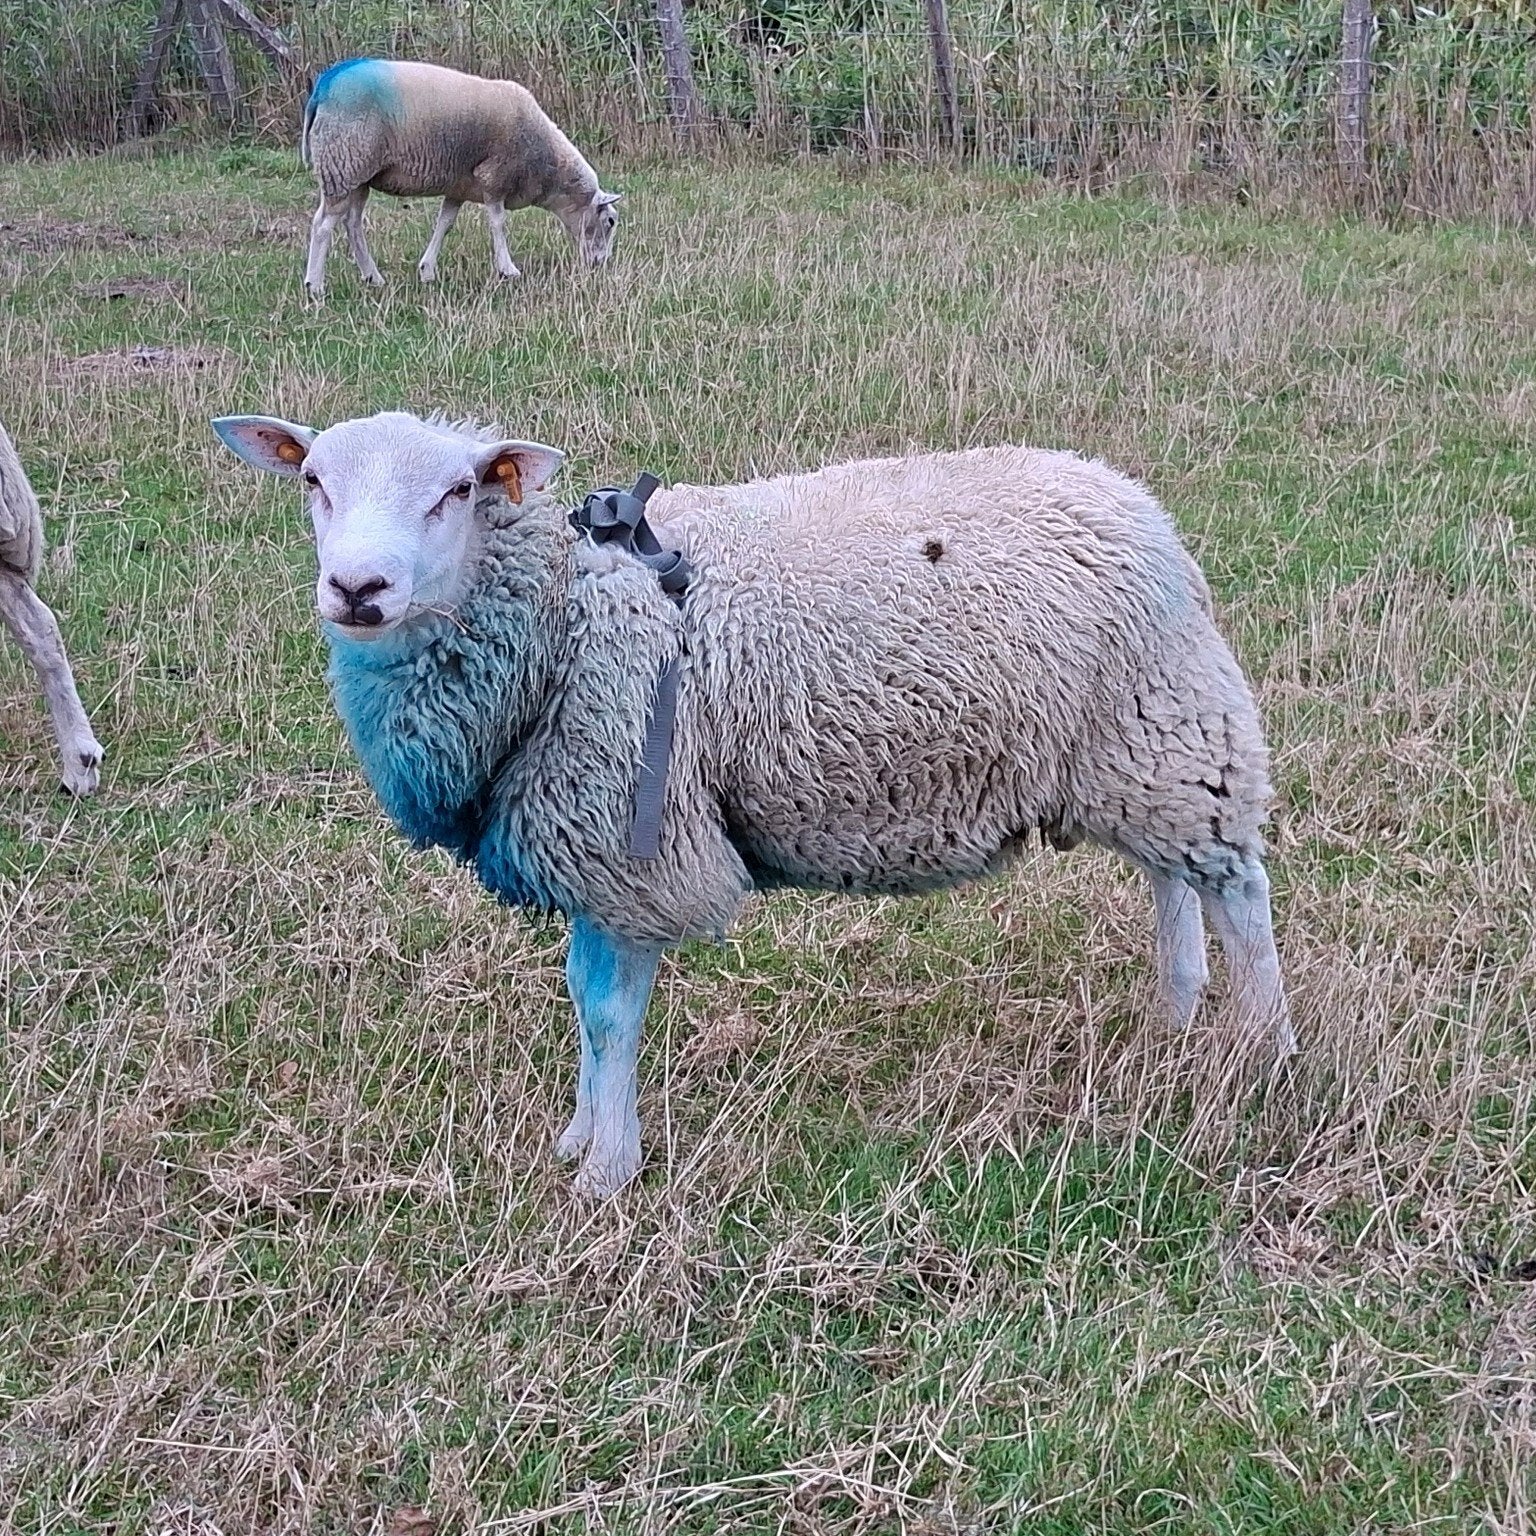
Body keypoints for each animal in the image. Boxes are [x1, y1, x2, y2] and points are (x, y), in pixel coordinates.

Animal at [211, 409, 1294, 1198]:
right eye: (313, 481)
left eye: (459, 491)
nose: (358, 588)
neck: (562, 612)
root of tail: (1135, 502)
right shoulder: (587, 845)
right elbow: (580, 999)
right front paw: (578, 1138)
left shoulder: (634, 844)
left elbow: (611, 1015)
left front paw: (607, 1173)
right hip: (1131, 751)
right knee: (1170, 880)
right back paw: (1176, 1012)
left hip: (1170, 726)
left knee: (1238, 892)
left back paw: (1264, 1054)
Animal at [300, 58, 622, 297]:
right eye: (609, 221)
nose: (600, 265)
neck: (548, 166)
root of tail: (324, 85)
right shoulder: (495, 177)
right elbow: (498, 223)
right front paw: (507, 269)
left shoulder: (460, 186)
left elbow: (445, 224)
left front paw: (427, 269)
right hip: (343, 164)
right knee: (323, 225)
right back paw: (314, 286)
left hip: (357, 175)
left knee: (352, 224)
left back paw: (373, 277)